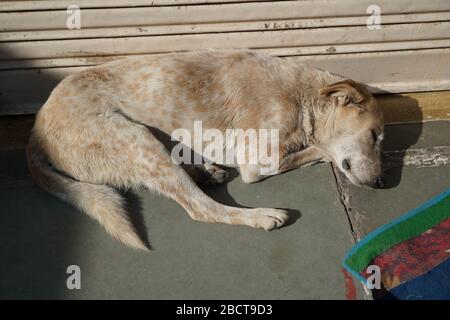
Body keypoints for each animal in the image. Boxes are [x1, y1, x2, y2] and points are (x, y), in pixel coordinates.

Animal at [26, 50, 384, 250]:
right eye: (375, 135)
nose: (381, 183)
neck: (302, 97)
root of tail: (33, 135)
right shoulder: (257, 161)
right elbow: (314, 149)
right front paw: (319, 152)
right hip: (138, 140)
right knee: (203, 209)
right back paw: (261, 215)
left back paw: (205, 171)